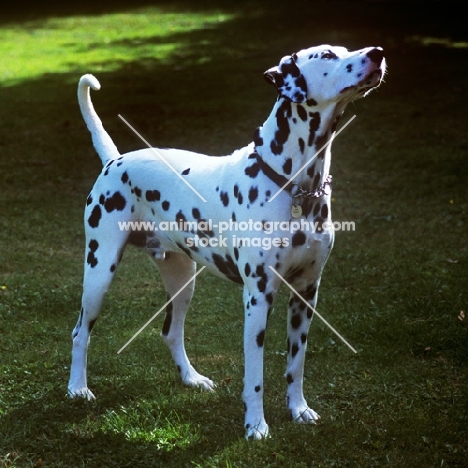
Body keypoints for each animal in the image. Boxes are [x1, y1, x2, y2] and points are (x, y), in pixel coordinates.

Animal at [68, 44, 384, 438]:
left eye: (346, 49)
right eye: (327, 55)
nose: (378, 53)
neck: (295, 186)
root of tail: (115, 160)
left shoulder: (306, 294)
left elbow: (296, 365)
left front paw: (298, 409)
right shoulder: (258, 298)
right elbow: (255, 375)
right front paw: (256, 426)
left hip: (183, 281)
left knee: (171, 333)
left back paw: (191, 378)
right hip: (99, 272)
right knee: (80, 333)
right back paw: (77, 389)